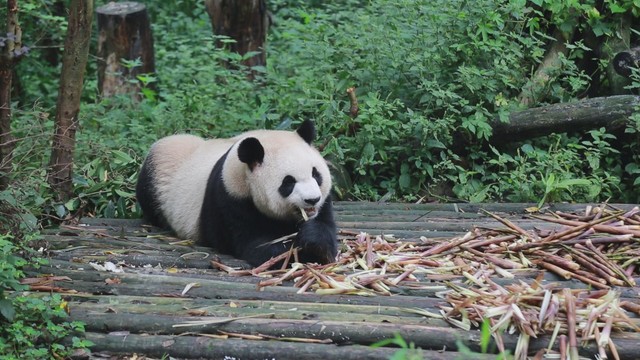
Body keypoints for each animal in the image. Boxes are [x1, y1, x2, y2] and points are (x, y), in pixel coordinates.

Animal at [136, 121, 340, 268]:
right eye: (288, 182)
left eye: (316, 174)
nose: (312, 199)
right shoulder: (231, 198)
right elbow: (258, 246)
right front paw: (300, 251)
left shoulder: (324, 203)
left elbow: (328, 232)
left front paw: (313, 237)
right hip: (155, 177)